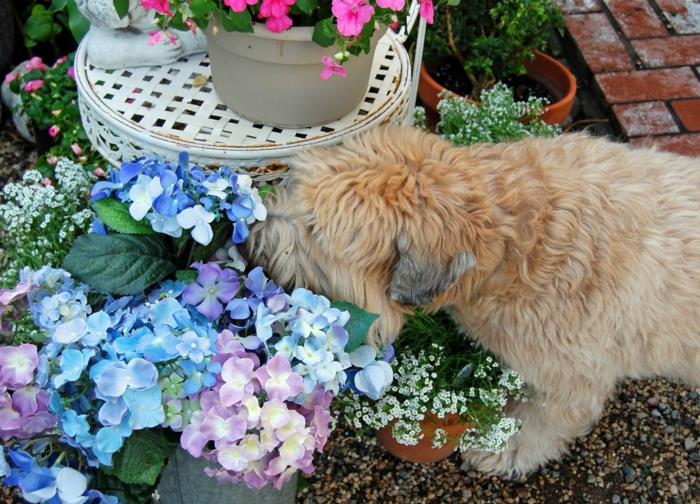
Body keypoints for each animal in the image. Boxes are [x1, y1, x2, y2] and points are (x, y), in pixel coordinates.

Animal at [245, 126, 700, 476]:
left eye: (315, 230)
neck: (514, 238)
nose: (248, 232)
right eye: (292, 182)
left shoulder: (570, 382)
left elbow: (536, 425)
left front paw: (502, 451)